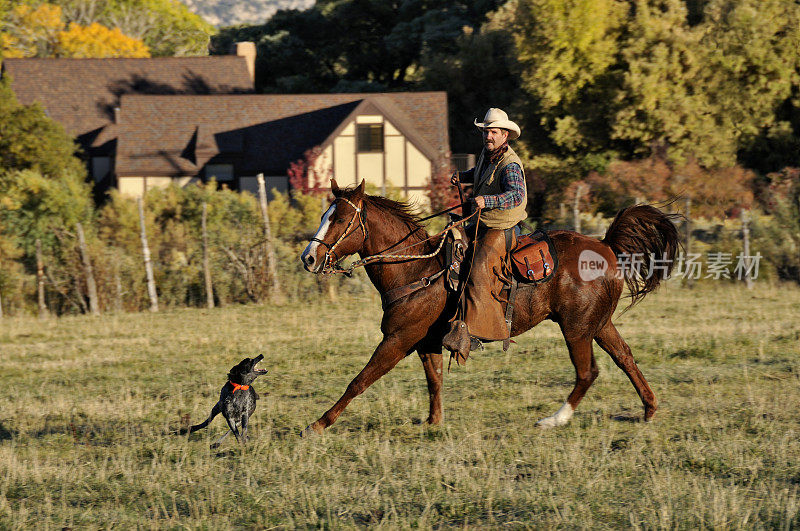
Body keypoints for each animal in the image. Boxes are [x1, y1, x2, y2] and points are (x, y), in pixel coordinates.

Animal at [300, 181, 680, 434]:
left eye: (339, 219)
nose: (309, 258)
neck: (417, 268)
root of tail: (606, 247)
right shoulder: (425, 342)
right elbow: (435, 380)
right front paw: (434, 423)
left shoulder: (398, 340)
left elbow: (359, 380)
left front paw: (318, 423)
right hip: (598, 325)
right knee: (624, 357)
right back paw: (649, 409)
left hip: (576, 328)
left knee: (588, 372)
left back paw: (553, 419)